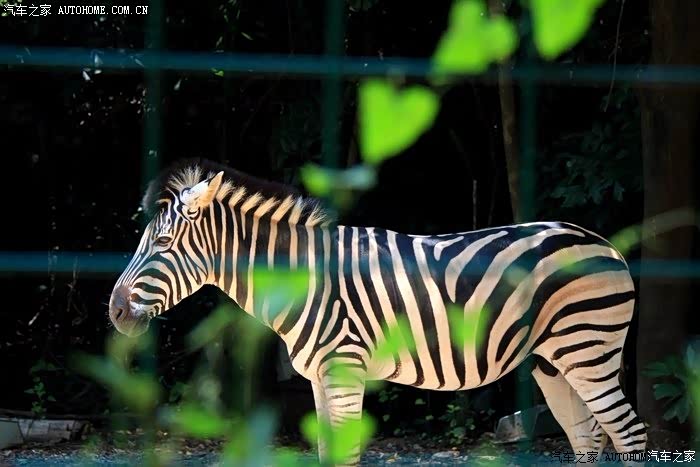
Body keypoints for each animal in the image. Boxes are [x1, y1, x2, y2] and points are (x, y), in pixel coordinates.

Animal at [109, 158, 647, 465]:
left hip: (587, 350)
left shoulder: (344, 369)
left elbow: (345, 457)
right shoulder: (319, 378)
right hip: (552, 364)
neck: (303, 277)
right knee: (589, 438)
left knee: (629, 433)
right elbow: (326, 454)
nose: (113, 311)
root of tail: (607, 244)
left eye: (161, 243)